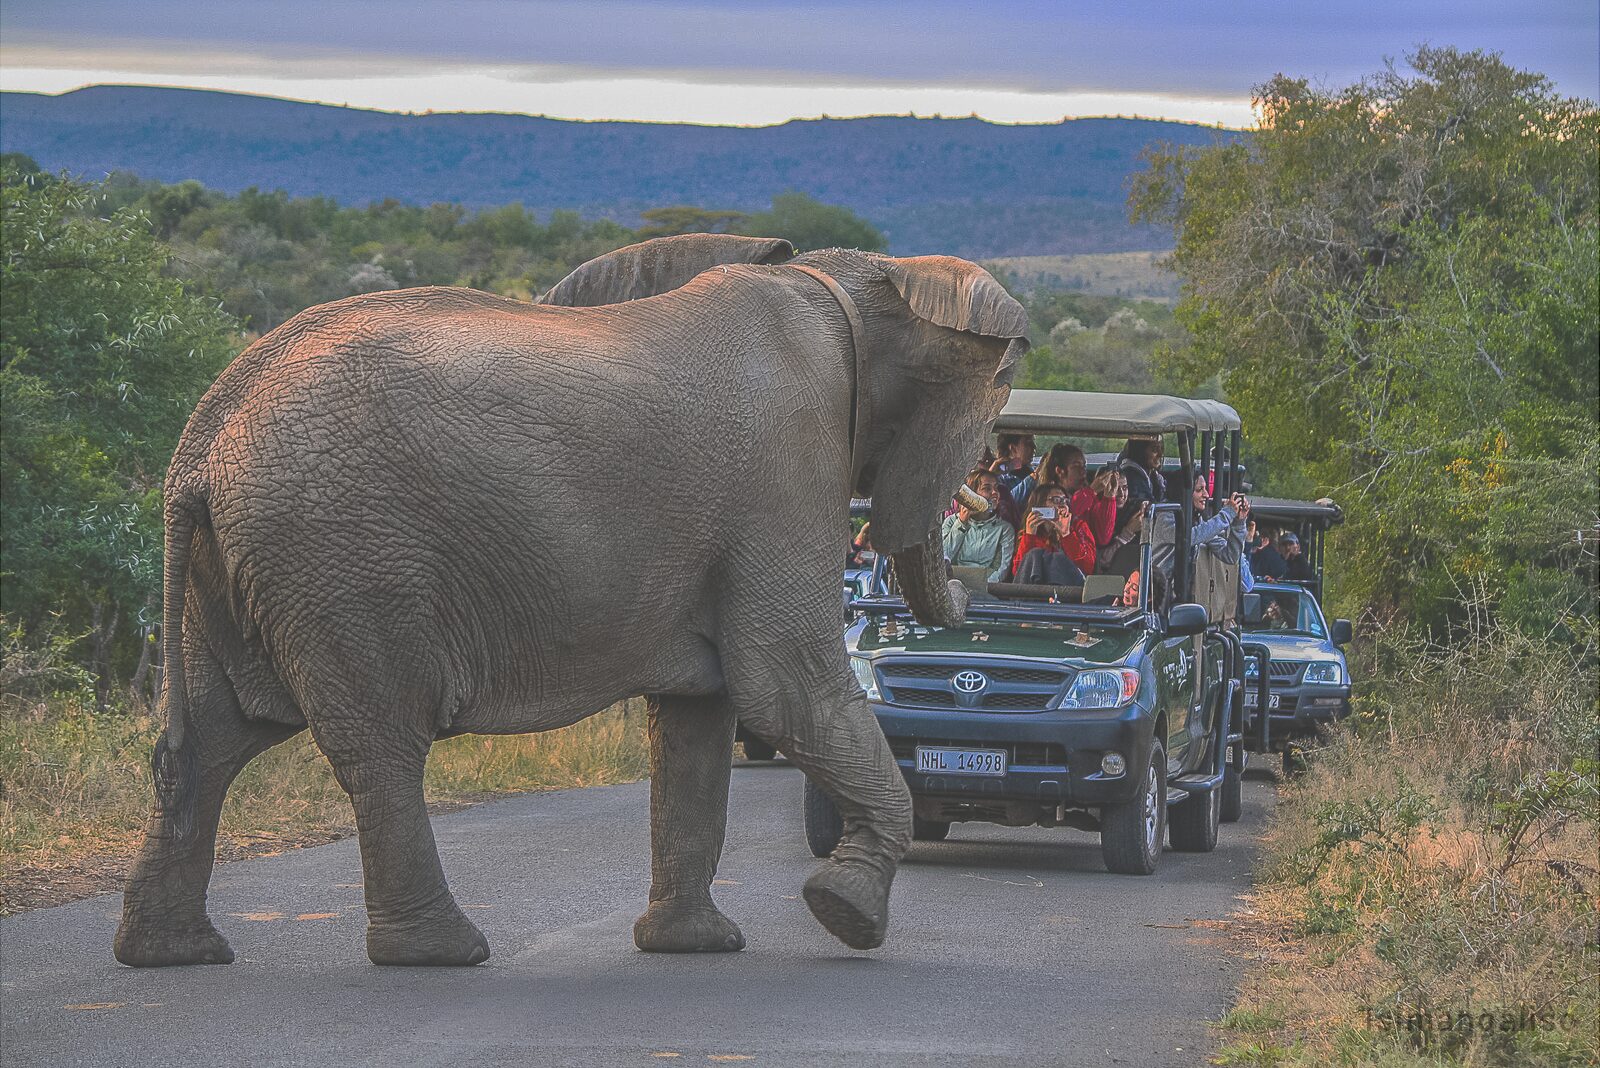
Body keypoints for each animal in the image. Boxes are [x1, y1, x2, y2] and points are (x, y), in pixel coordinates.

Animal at [113, 233, 1027, 968]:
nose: (983, 585)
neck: (858, 279)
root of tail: (204, 435)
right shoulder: (789, 470)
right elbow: (785, 685)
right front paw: (845, 916)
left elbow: (701, 716)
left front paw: (696, 948)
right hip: (343, 553)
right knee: (378, 740)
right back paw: (442, 954)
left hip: (250, 563)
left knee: (217, 738)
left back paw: (172, 954)